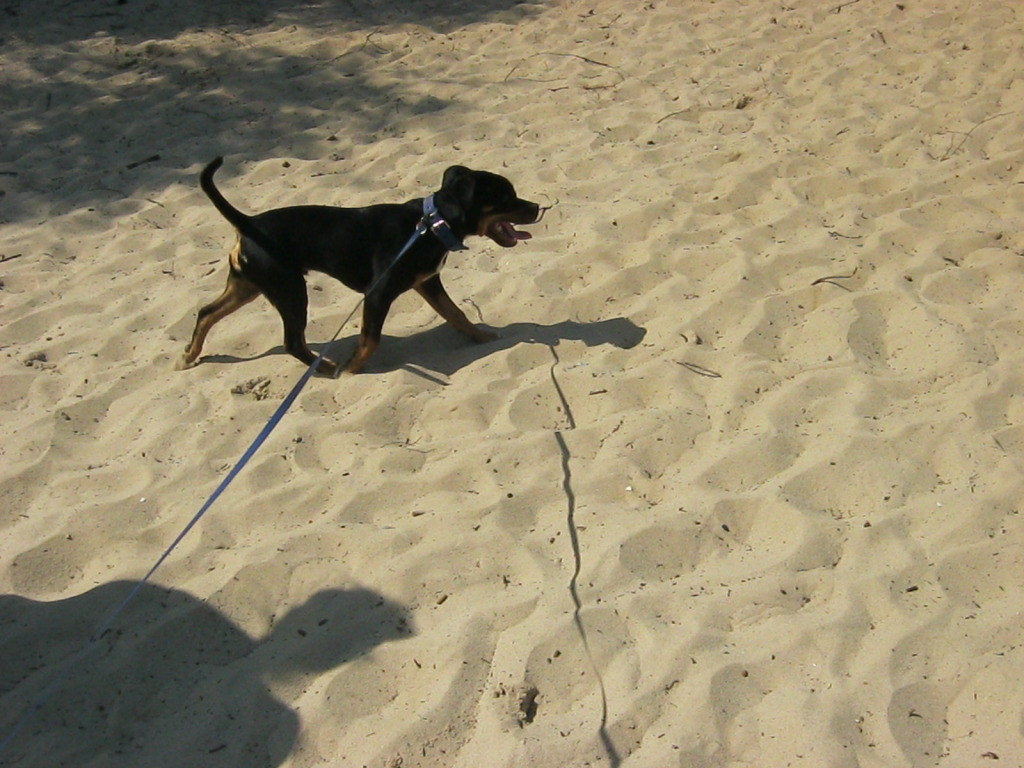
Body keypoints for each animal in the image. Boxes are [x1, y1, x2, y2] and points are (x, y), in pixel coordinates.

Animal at [179, 156, 540, 376]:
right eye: (506, 197)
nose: (537, 207)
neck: (431, 225)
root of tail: (248, 223)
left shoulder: (428, 282)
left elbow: (457, 314)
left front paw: (482, 336)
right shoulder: (378, 294)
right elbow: (371, 339)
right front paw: (351, 369)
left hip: (248, 286)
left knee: (206, 312)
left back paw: (188, 356)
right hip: (290, 290)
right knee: (292, 342)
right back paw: (326, 368)